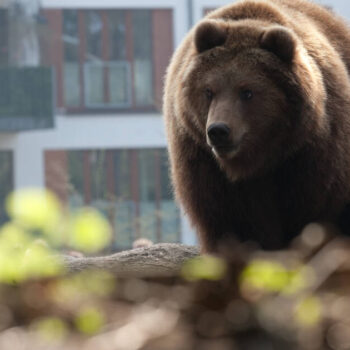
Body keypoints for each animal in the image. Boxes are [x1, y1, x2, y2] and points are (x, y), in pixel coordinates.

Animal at [163, 0, 350, 252]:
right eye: (209, 91)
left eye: (247, 92)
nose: (218, 131)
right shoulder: (205, 166)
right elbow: (234, 223)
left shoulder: (313, 157)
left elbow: (310, 213)